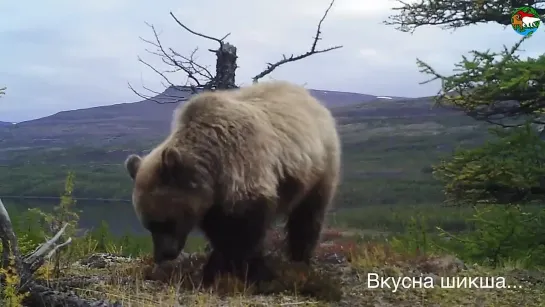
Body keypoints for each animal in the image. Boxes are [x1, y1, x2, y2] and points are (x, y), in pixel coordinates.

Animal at [123, 80, 340, 286]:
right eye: (148, 225)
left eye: (167, 222)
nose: (163, 255)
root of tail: (312, 99)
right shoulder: (211, 201)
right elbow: (220, 232)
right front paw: (216, 268)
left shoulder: (243, 170)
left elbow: (243, 231)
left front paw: (254, 272)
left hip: (319, 167)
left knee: (308, 216)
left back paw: (300, 259)